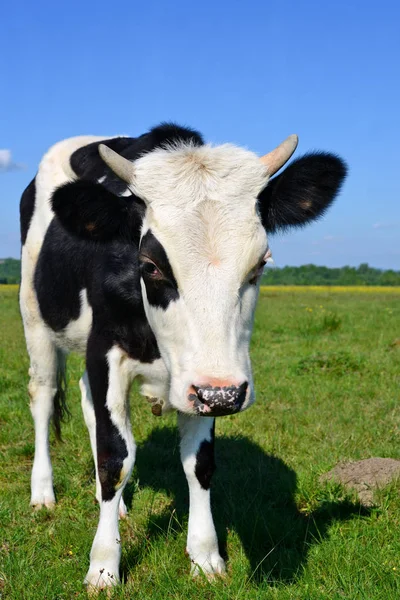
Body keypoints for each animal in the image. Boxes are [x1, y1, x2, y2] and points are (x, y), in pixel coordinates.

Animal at [18, 123, 346, 592]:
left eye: (259, 265)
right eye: (151, 265)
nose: (225, 397)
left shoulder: (203, 379)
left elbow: (199, 464)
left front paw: (206, 557)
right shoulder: (108, 352)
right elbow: (115, 458)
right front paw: (103, 566)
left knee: (85, 401)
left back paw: (113, 505)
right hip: (35, 319)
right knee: (43, 397)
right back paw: (43, 493)